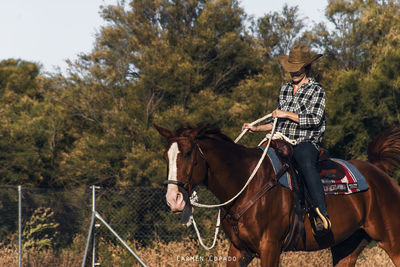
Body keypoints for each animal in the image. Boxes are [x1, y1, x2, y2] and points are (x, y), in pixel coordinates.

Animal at [155, 124, 400, 266]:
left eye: (188, 153)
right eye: (166, 156)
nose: (173, 199)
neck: (248, 182)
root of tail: (378, 171)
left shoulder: (270, 247)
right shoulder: (239, 249)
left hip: (391, 239)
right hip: (346, 246)